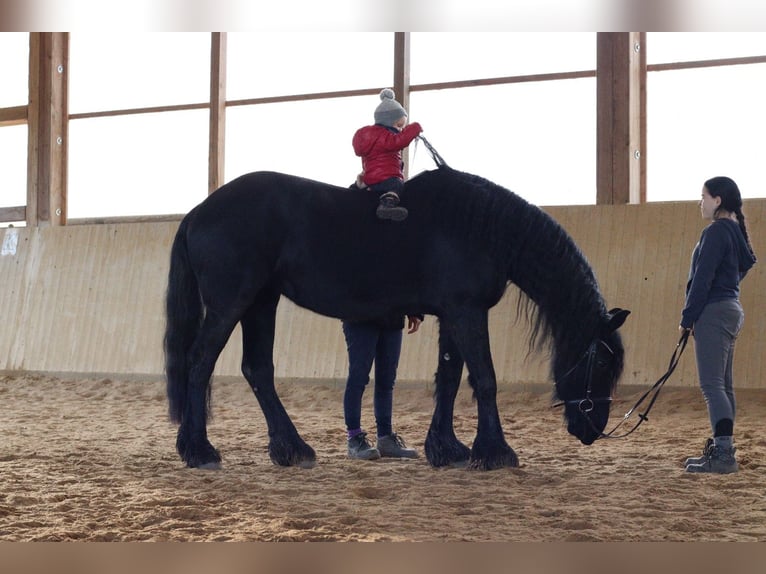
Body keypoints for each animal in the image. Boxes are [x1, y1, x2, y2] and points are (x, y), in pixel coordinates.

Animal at [164, 166, 632, 472]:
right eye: (601, 362)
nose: (592, 428)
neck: (479, 227)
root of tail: (199, 211)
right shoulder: (467, 311)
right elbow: (484, 379)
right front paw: (495, 452)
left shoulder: (453, 315)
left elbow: (449, 378)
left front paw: (447, 449)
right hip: (232, 303)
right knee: (200, 363)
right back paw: (199, 451)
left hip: (262, 301)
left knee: (258, 369)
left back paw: (291, 449)